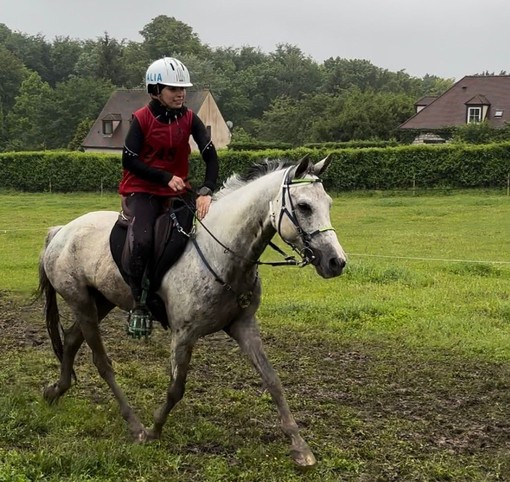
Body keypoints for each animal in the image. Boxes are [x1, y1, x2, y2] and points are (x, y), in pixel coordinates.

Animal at [38, 155, 346, 466]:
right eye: (304, 206)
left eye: (329, 204)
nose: (336, 262)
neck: (222, 252)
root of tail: (61, 232)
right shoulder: (184, 334)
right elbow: (176, 388)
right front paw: (153, 431)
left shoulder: (244, 326)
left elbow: (273, 381)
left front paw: (300, 446)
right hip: (81, 303)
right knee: (102, 362)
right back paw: (134, 425)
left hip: (100, 301)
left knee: (72, 340)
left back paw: (55, 390)